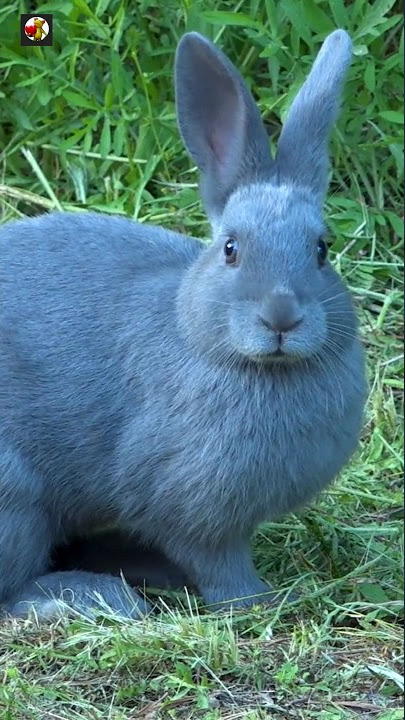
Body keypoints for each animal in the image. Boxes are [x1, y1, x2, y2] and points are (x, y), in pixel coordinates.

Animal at [0, 29, 367, 621]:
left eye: (321, 250)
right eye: (231, 249)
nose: (282, 317)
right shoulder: (193, 507)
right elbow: (219, 564)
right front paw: (261, 601)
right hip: (16, 502)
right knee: (12, 588)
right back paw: (96, 597)